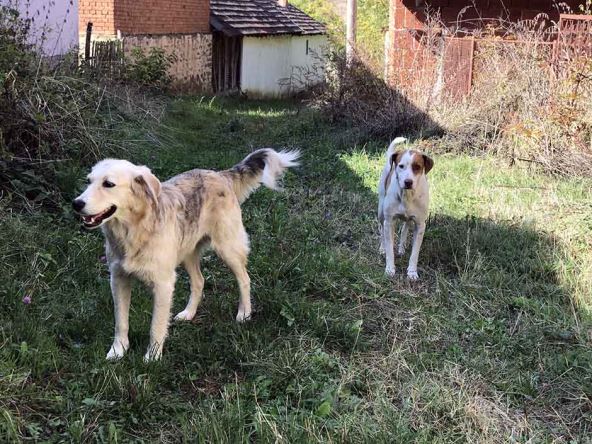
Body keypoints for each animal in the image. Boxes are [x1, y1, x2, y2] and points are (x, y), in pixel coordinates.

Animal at [73, 149, 300, 361]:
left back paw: (244, 313)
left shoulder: (163, 285)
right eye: (88, 181)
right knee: (199, 281)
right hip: (187, 255)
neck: (134, 230)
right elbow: (121, 322)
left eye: (108, 184)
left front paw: (152, 358)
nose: (76, 203)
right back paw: (189, 313)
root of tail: (220, 174)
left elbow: (156, 326)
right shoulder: (118, 279)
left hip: (228, 249)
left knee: (244, 278)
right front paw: (118, 351)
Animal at [378, 137, 433, 280]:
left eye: (417, 167)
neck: (407, 196)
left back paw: (402, 248)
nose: (408, 182)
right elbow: (389, 248)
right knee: (382, 230)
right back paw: (382, 248)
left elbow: (415, 253)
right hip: (380, 211)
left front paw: (412, 272)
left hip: (409, 219)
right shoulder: (389, 221)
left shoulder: (420, 225)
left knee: (405, 227)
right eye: (401, 166)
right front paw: (390, 269)